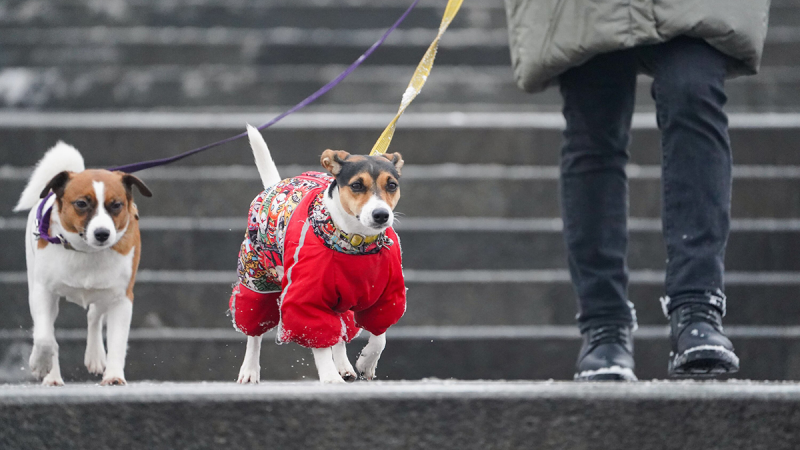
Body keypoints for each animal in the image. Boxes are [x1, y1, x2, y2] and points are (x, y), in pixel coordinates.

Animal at [14, 142, 152, 384]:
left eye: (116, 205)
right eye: (81, 204)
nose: (102, 233)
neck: (86, 250)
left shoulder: (122, 297)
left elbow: (117, 340)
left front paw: (114, 376)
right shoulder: (43, 292)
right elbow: (45, 336)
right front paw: (41, 365)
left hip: (105, 291)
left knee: (94, 314)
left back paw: (95, 356)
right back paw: (53, 376)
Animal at [231, 125, 406, 384]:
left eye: (392, 185)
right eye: (357, 185)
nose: (381, 214)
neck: (354, 243)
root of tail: (275, 186)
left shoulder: (386, 295)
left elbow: (379, 334)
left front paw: (366, 362)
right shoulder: (306, 297)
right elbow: (318, 338)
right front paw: (330, 377)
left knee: (341, 331)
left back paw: (344, 366)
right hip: (255, 279)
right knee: (254, 330)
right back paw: (249, 371)